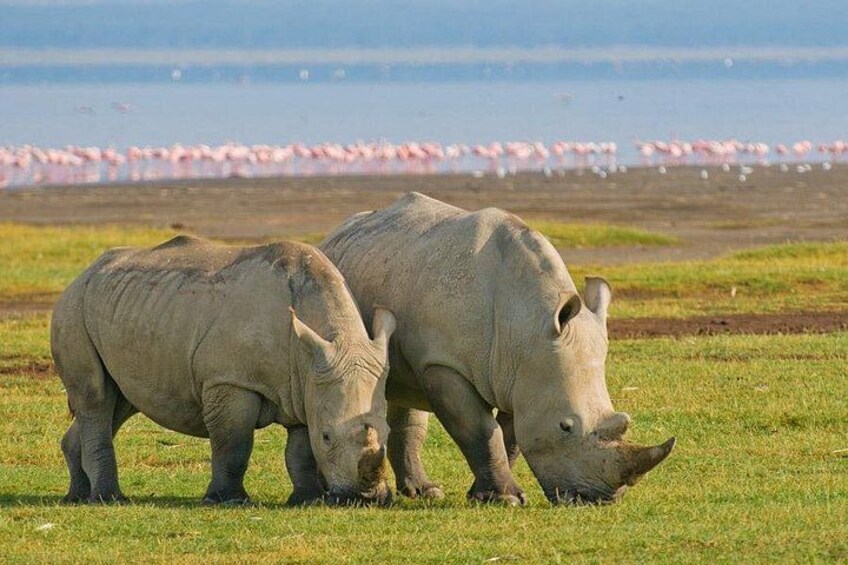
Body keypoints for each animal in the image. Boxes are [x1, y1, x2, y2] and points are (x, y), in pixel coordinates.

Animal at [51, 235, 396, 506]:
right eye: (326, 436)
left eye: (388, 433)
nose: (366, 499)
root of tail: (83, 273)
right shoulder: (230, 380)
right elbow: (233, 443)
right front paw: (227, 499)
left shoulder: (306, 383)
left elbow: (300, 450)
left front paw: (306, 499)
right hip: (73, 307)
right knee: (96, 398)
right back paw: (107, 498)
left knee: (119, 402)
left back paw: (77, 496)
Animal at [321, 193, 675, 505]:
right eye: (565, 426)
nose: (600, 498)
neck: (527, 323)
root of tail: (338, 230)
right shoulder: (445, 364)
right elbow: (480, 430)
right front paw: (505, 498)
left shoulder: (522, 371)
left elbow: (509, 436)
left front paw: (487, 494)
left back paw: (426, 492)